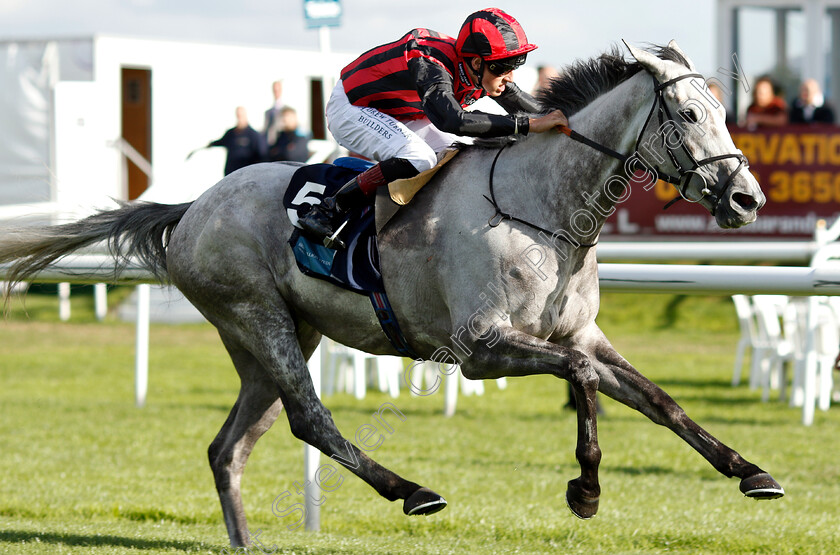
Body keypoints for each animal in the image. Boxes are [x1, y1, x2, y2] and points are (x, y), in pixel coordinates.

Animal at [3, 41, 784, 548]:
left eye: (722, 110)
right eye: (688, 116)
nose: (747, 198)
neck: (545, 207)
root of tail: (192, 207)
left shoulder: (577, 333)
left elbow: (658, 399)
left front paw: (751, 471)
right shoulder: (484, 348)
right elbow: (586, 380)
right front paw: (585, 490)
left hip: (273, 339)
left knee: (230, 447)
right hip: (259, 318)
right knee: (309, 419)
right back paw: (413, 490)